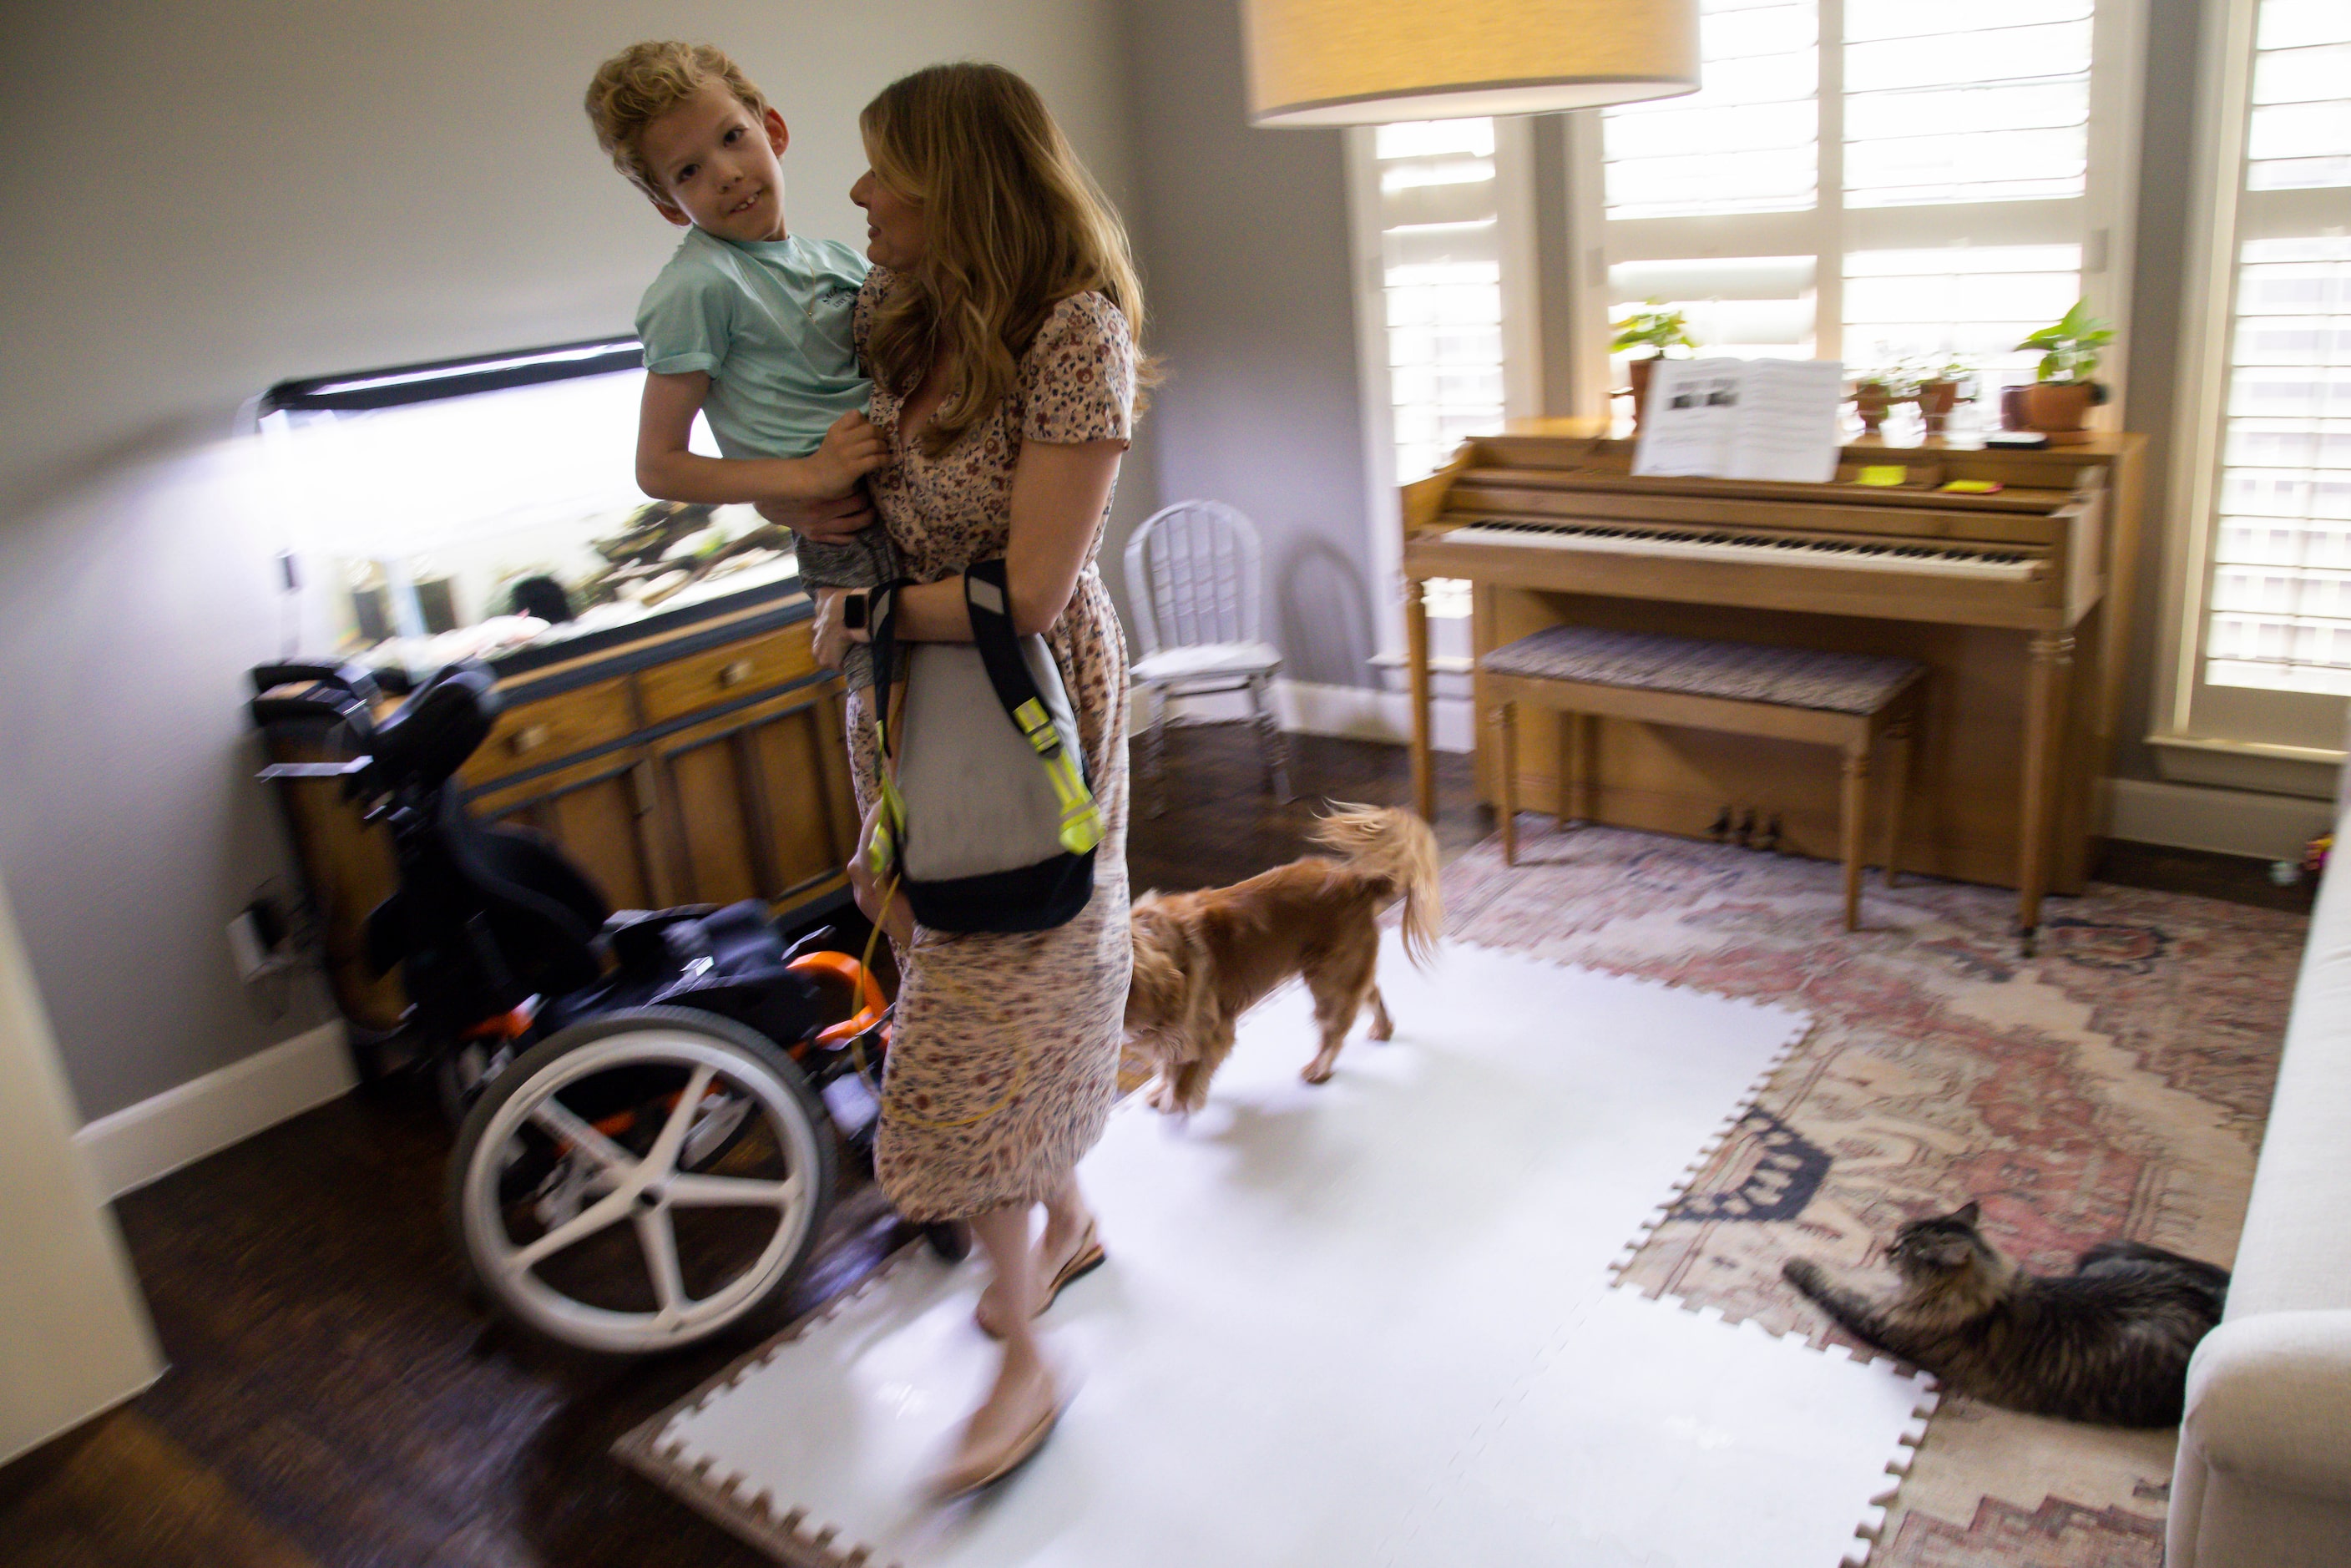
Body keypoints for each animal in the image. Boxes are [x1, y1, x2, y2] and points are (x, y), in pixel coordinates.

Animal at [1128, 808, 1438, 1114]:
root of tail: (1359, 882)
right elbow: (1169, 1064)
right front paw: (1163, 1092)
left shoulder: (1206, 1030)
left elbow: (1183, 1069)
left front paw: (1174, 1099)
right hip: (1344, 970)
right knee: (1369, 994)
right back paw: (1382, 1029)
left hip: (1329, 979)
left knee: (1334, 1029)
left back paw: (1318, 1070)